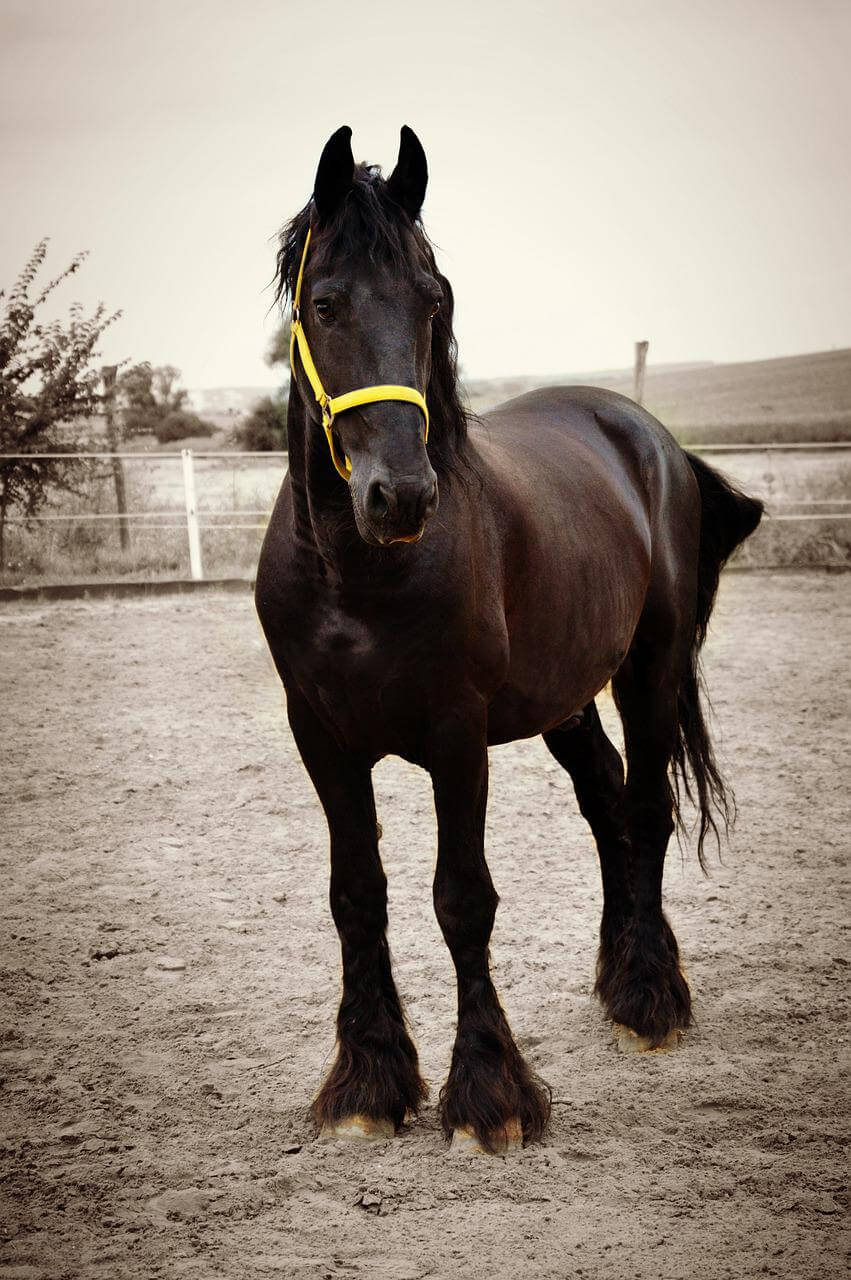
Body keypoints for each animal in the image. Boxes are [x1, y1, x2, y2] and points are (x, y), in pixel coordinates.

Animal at [255, 125, 763, 1152]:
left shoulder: (457, 737)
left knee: (646, 810)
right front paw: (368, 1085)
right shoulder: (320, 737)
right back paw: (619, 976)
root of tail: (641, 431)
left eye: (433, 299)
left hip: (646, 671)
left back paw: (648, 999)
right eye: (324, 303)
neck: (354, 576)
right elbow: (354, 892)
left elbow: (462, 898)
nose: (401, 496)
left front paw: (489, 1095)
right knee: (608, 806)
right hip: (564, 700)